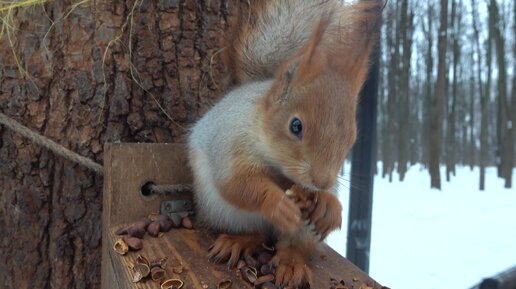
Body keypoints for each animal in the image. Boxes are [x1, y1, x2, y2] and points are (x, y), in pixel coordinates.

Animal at [187, 1, 380, 286]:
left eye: (352, 138)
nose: (321, 181)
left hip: (304, 232)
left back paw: (291, 265)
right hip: (223, 211)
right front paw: (279, 205)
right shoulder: (229, 143)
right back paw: (239, 241)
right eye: (295, 126)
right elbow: (238, 183)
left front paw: (329, 206)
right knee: (255, 232)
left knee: (293, 247)